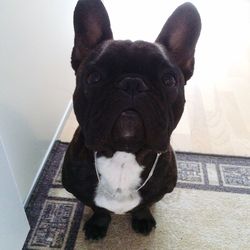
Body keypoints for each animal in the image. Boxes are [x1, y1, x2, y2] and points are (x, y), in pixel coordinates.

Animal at [62, 0, 201, 240]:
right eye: (94, 77)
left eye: (169, 80)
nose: (132, 83)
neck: (123, 155)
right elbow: (99, 208)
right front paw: (98, 224)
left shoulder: (158, 191)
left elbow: (143, 205)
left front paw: (142, 219)